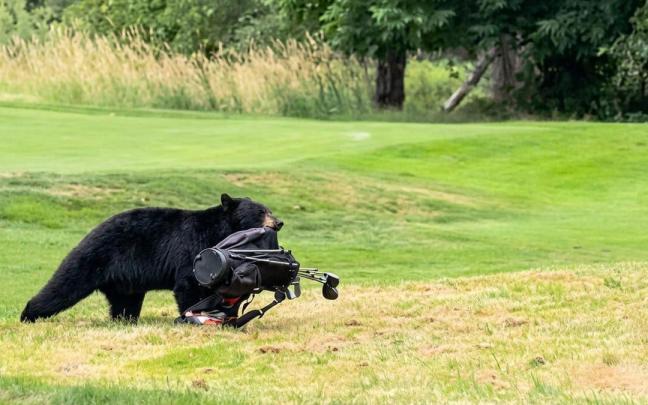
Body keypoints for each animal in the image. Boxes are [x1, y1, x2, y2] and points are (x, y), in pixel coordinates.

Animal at [20, 194, 283, 323]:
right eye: (261, 211)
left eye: (269, 210)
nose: (279, 222)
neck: (220, 230)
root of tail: (91, 232)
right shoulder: (193, 249)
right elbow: (188, 285)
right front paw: (194, 316)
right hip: (93, 259)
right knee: (63, 286)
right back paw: (28, 315)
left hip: (126, 284)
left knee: (124, 304)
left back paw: (125, 321)